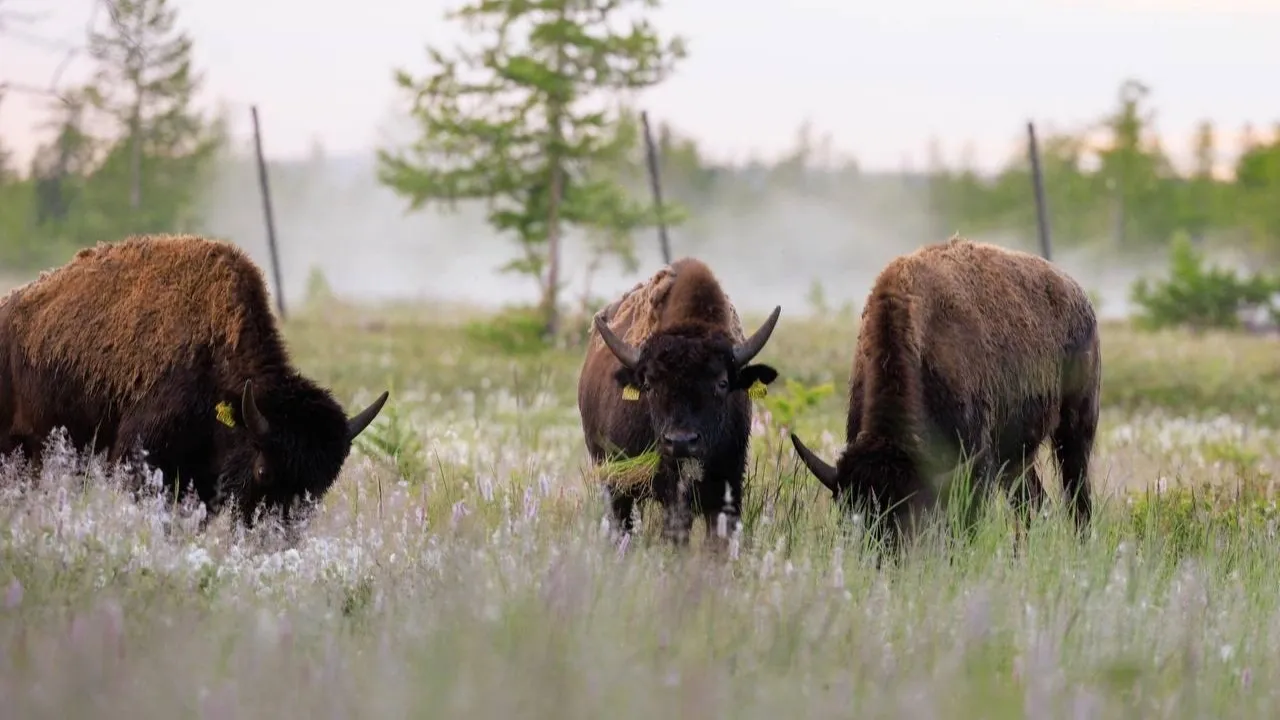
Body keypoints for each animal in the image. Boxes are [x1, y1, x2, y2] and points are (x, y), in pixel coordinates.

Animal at [788, 237, 1100, 548]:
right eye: (847, 514)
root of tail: (1080, 297)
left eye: (909, 514)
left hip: (1075, 429)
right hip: (1018, 457)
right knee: (1034, 503)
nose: (884, 554)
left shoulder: (976, 464)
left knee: (1078, 500)